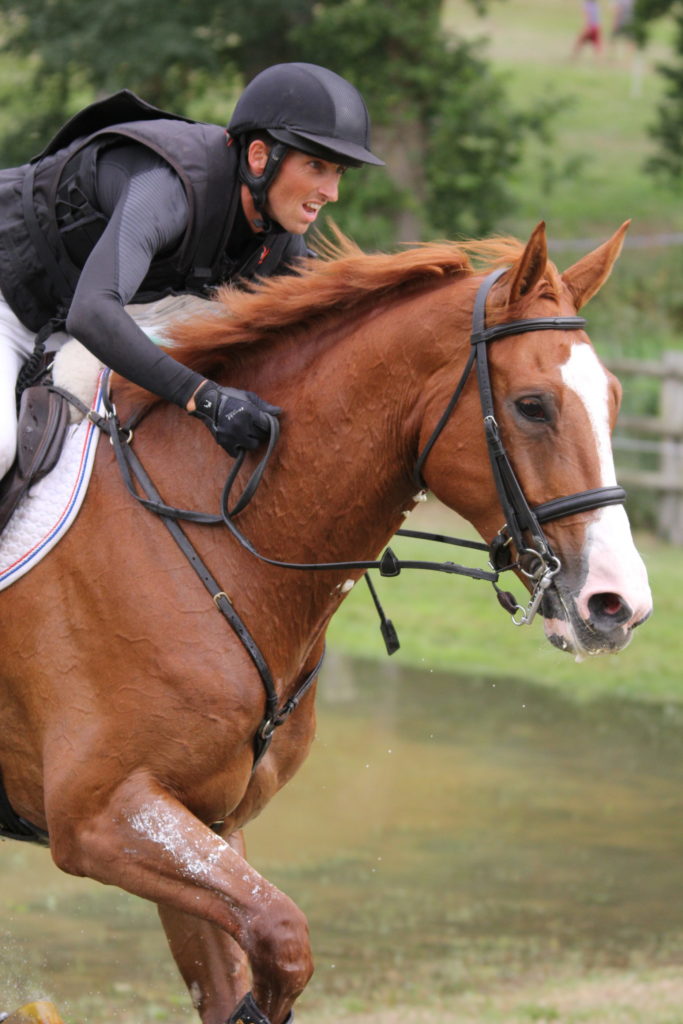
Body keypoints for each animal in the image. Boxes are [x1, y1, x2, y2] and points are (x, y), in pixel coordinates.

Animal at [0, 224, 651, 1024]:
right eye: (532, 406)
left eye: (614, 400)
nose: (617, 604)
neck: (213, 535)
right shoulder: (101, 815)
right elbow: (282, 938)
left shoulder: (201, 820)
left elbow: (247, 962)